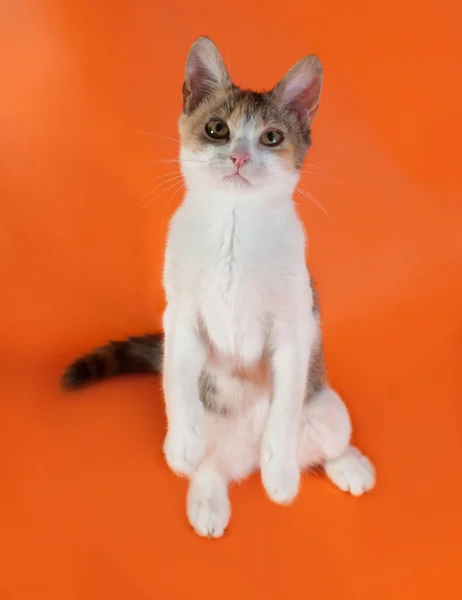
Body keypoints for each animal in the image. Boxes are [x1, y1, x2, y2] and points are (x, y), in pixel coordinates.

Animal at [61, 35, 374, 536]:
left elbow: (286, 400)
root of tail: (244, 456)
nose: (240, 156)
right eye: (216, 129)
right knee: (211, 468)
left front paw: (281, 474)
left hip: (328, 409)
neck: (234, 226)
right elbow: (177, 376)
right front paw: (182, 444)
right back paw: (207, 498)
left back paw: (346, 465)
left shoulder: (295, 322)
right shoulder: (180, 313)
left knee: (325, 444)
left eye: (271, 137)